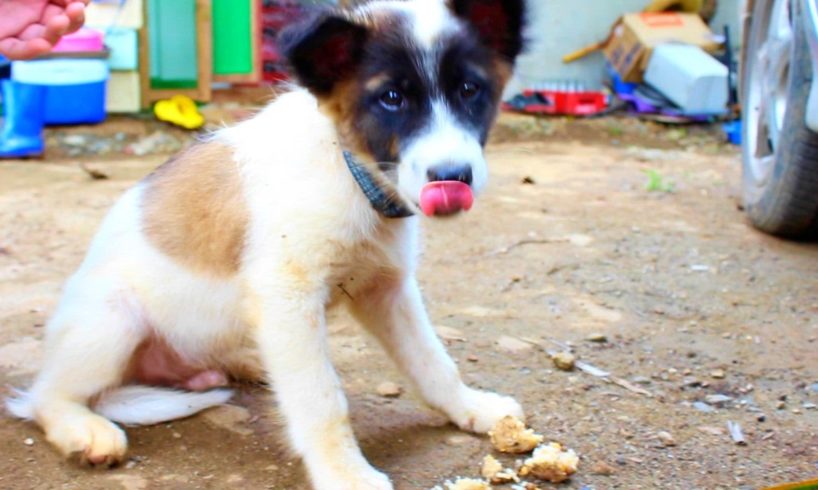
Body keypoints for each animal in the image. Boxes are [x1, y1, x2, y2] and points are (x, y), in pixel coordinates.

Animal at [7, 1, 524, 488]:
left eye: (469, 90)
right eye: (392, 98)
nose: (453, 178)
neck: (350, 172)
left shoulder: (386, 288)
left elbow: (433, 361)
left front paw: (472, 407)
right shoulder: (287, 294)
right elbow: (320, 399)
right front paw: (344, 474)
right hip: (111, 320)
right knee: (45, 396)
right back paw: (82, 428)